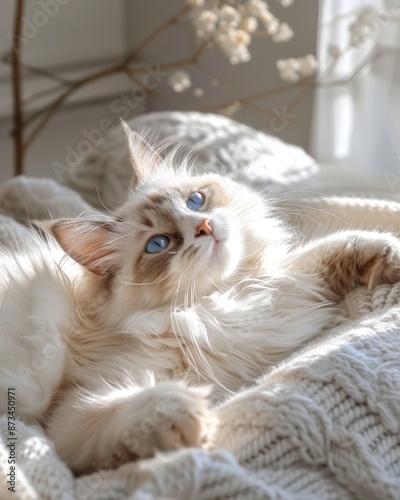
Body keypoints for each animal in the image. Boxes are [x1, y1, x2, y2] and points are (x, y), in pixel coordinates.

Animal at [0, 121, 400, 472]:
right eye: (158, 244)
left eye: (195, 201)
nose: (204, 226)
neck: (222, 299)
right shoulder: (69, 413)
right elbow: (131, 409)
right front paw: (186, 413)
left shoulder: (285, 287)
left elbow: (335, 247)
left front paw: (388, 255)